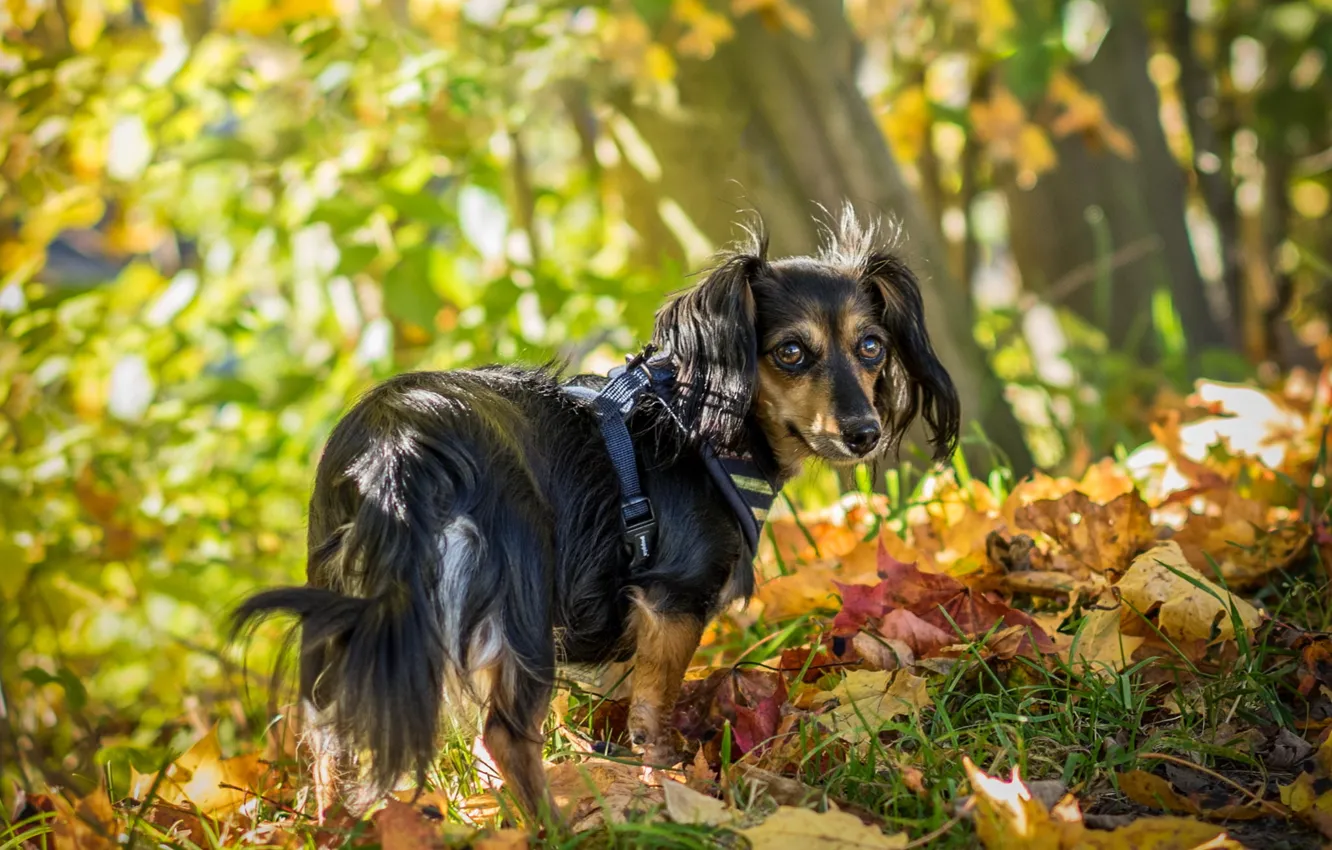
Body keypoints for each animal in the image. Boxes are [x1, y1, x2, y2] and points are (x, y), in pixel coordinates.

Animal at [229, 211, 959, 826]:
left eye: (871, 347)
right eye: (790, 353)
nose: (865, 433)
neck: (703, 425)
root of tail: (398, 438)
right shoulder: (671, 601)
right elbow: (653, 714)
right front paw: (671, 783)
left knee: (328, 733)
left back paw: (339, 827)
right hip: (520, 594)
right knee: (503, 735)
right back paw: (555, 829)